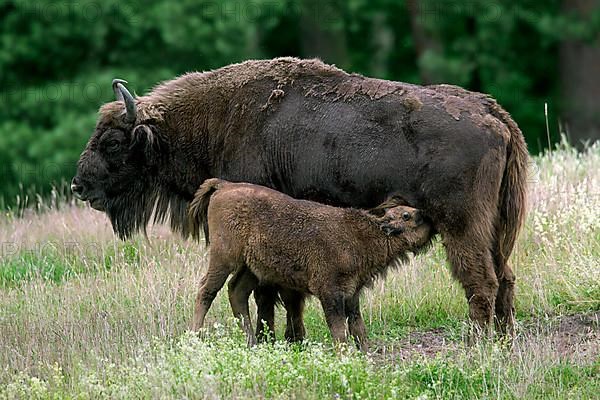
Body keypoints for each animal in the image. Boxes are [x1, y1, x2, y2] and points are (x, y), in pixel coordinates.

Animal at [188, 178, 432, 350]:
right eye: (406, 215)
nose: (425, 214)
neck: (362, 235)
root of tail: (225, 186)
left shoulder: (351, 294)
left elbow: (357, 327)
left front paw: (364, 353)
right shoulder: (330, 293)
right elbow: (339, 329)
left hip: (252, 268)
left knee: (236, 291)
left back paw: (251, 343)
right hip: (223, 257)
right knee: (207, 290)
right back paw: (194, 337)